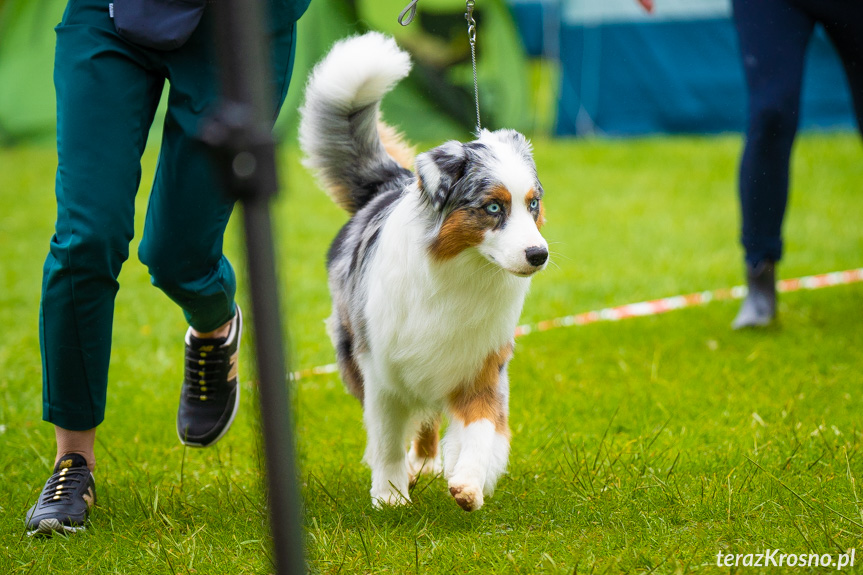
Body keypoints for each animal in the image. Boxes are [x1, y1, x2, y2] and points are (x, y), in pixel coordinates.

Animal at [300, 31, 552, 510]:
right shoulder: (381, 370)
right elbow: (385, 438)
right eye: (493, 208)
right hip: (353, 355)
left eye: (532, 204)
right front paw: (390, 495)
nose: (539, 254)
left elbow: (481, 428)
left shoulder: (481, 366)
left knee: (430, 417)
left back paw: (430, 462)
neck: (462, 274)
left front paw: (469, 483)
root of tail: (390, 183)